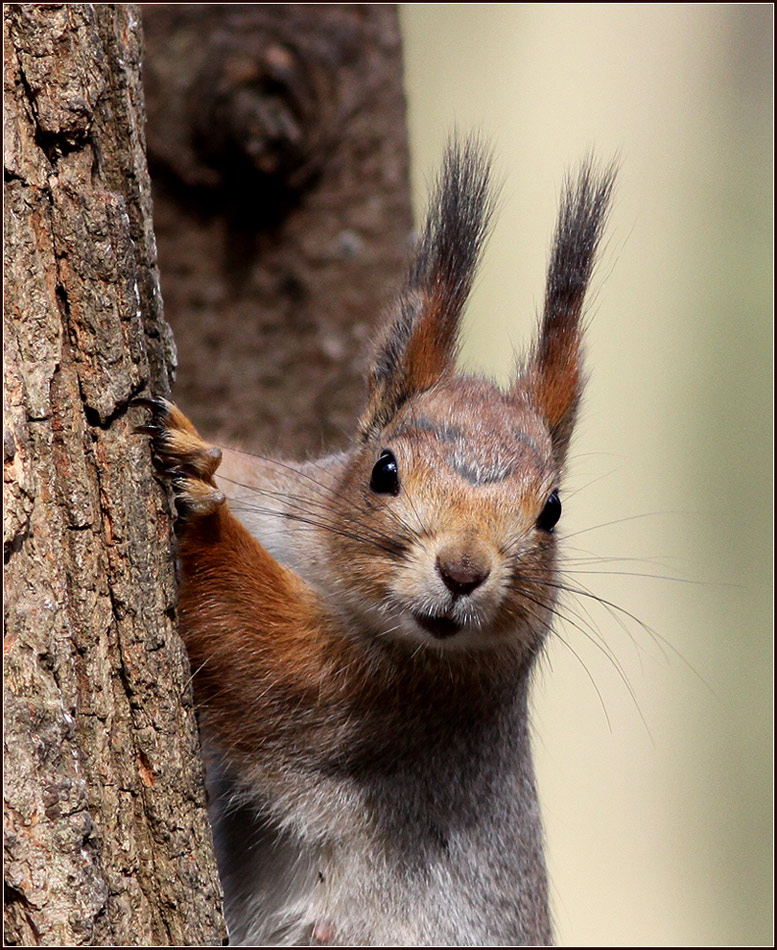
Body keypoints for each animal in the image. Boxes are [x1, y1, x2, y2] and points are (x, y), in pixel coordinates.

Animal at [136, 138, 616, 948]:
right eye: (383, 469)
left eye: (550, 511)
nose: (463, 571)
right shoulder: (278, 494)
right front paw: (202, 457)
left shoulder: (399, 705)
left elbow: (269, 662)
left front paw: (199, 502)